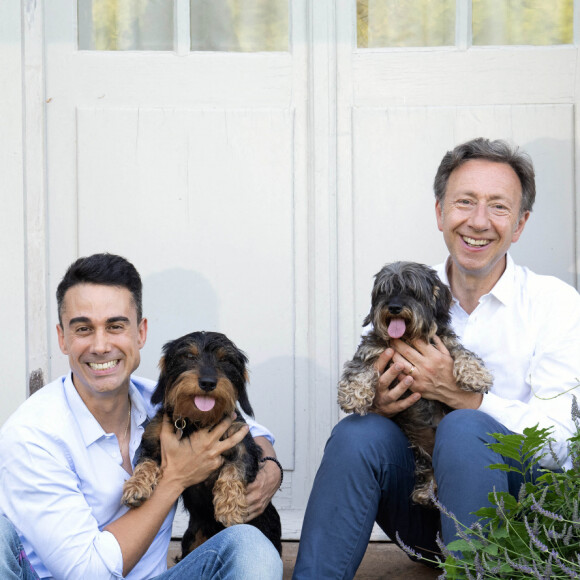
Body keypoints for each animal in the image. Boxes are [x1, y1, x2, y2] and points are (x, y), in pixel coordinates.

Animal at [123, 334, 282, 560]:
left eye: (225, 360)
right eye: (189, 356)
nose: (207, 382)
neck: (197, 421)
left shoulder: (243, 446)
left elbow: (233, 471)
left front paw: (229, 508)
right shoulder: (153, 444)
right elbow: (145, 464)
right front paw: (136, 487)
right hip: (192, 537)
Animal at [338, 260, 492, 506]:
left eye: (412, 291)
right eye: (385, 291)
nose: (394, 307)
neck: (408, 337)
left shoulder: (445, 343)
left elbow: (463, 352)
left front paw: (476, 375)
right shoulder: (372, 350)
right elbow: (358, 369)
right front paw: (353, 394)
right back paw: (425, 492)